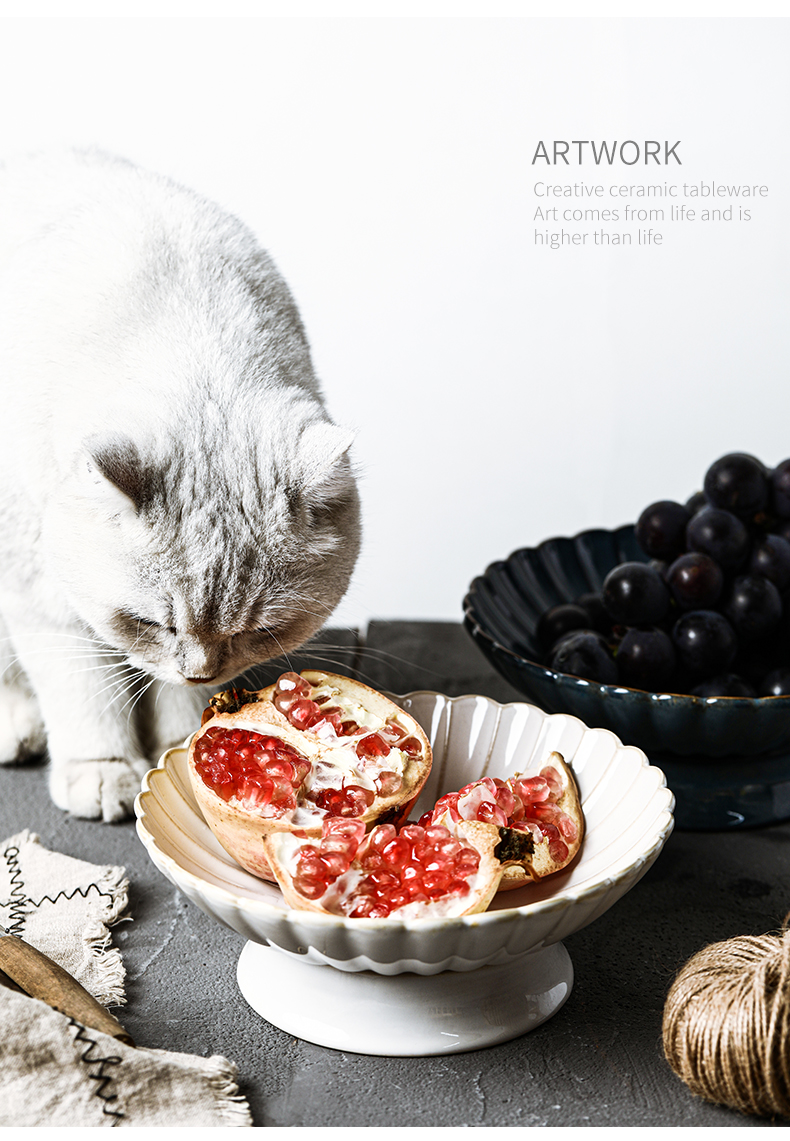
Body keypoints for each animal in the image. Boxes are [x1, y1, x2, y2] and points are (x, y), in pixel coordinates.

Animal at [0, 149, 360, 821]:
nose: (199, 671)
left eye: (258, 633)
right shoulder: (42, 593)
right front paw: (105, 771)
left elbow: (179, 709)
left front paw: (186, 751)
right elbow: (86, 692)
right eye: (150, 623)